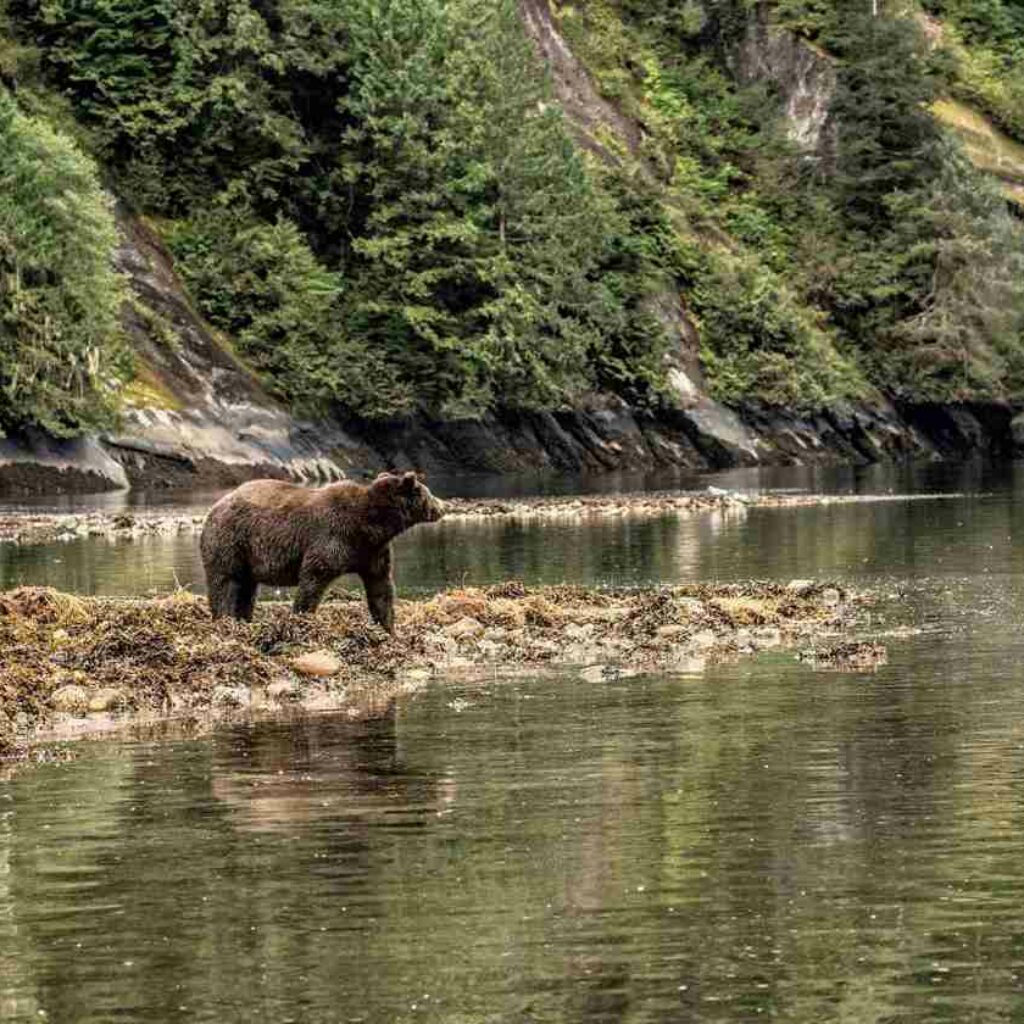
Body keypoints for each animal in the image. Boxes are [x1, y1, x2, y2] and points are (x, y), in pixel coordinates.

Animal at [199, 473, 444, 630]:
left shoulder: (372, 551)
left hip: (247, 554)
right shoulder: (332, 537)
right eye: (429, 493)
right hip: (231, 540)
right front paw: (301, 617)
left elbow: (381, 587)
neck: (370, 524)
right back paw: (224, 618)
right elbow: (314, 577)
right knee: (225, 581)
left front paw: (388, 627)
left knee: (246, 588)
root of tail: (214, 507)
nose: (443, 507)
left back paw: (244, 620)